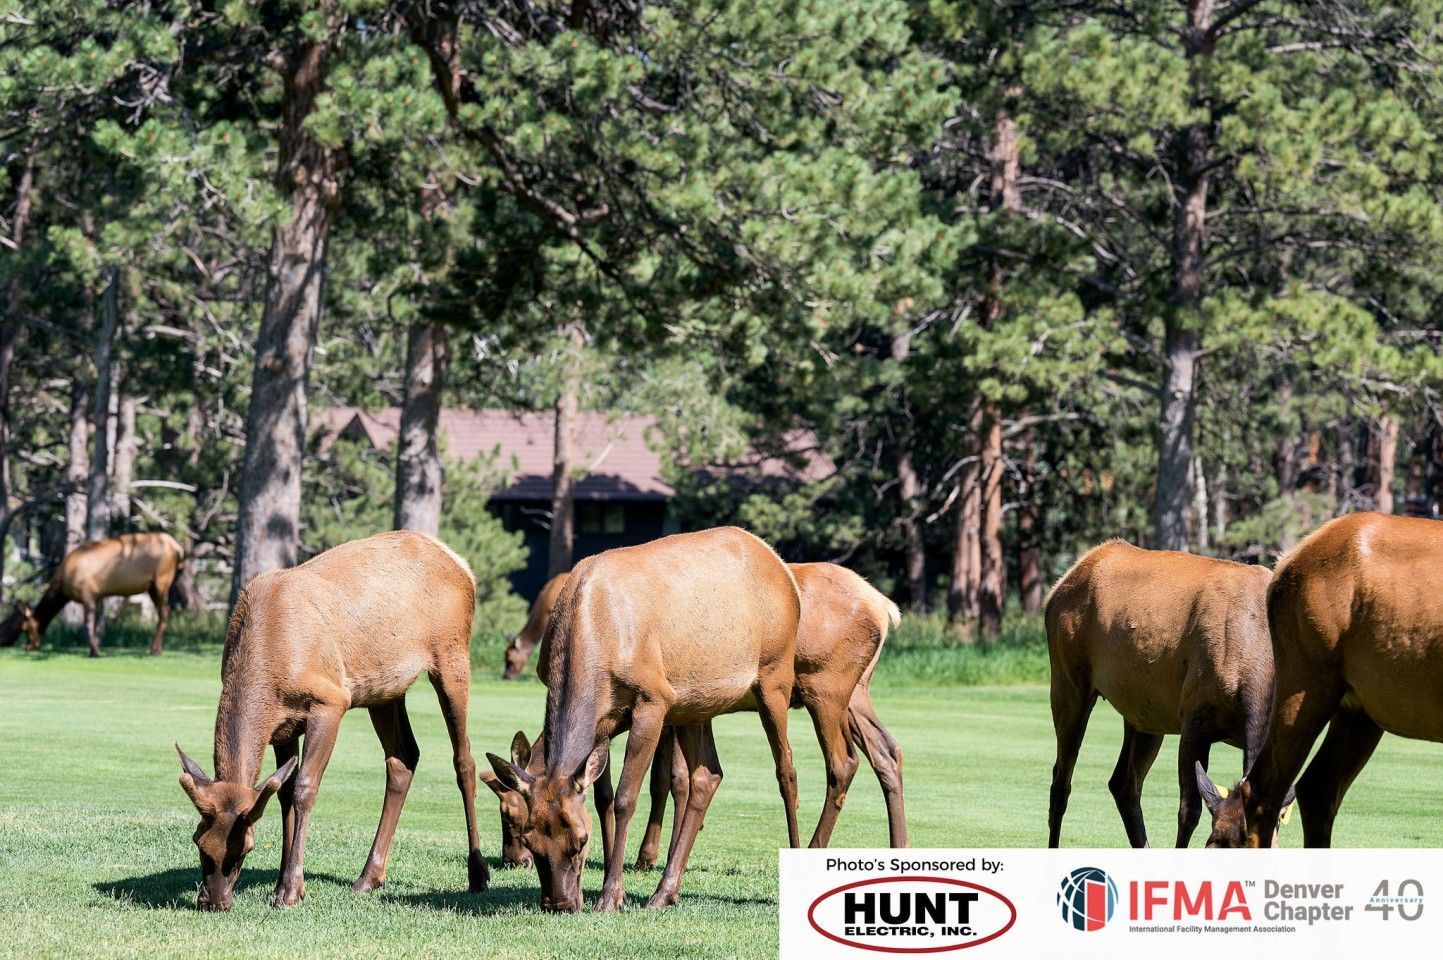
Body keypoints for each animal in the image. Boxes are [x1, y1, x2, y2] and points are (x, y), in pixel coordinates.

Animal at [0, 531, 183, 656]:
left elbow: (88, 624)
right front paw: (96, 646)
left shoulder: (88, 594)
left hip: (161, 581)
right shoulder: (99, 596)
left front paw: (94, 651)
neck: (62, 585)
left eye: (25, 628)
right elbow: (98, 625)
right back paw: (157, 649)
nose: (28, 646)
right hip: (152, 586)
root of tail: (177, 547)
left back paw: (155, 650)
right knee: (163, 612)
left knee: (164, 612)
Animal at [174, 530, 487, 911]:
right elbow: (284, 792)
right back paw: (368, 878)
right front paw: (286, 883)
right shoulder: (282, 725)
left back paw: (478, 873)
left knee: (464, 759)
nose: (213, 902)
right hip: (384, 690)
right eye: (200, 844)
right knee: (403, 757)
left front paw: (290, 891)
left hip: (453, 654)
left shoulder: (331, 701)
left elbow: (305, 788)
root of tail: (461, 564)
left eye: (243, 850)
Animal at [482, 561, 908, 871]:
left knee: (843, 763)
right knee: (887, 751)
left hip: (827, 687)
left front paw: (649, 856)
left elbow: (668, 780)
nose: (513, 860)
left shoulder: (664, 708)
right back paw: (900, 848)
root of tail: (886, 608)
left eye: (509, 814)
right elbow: (638, 785)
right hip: (856, 693)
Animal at [484, 526, 803, 913]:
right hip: (696, 704)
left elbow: (625, 798)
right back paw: (665, 891)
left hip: (775, 675)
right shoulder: (604, 721)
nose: (559, 904)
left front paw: (610, 896)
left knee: (786, 771)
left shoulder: (654, 700)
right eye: (531, 837)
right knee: (707, 776)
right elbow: (603, 799)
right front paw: (610, 888)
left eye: (580, 840)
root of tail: (782, 568)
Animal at [1046, 539, 1276, 848]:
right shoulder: (1194, 718)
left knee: (1123, 784)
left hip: (1145, 713)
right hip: (1068, 683)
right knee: (1061, 782)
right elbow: (1188, 811)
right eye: (1213, 844)